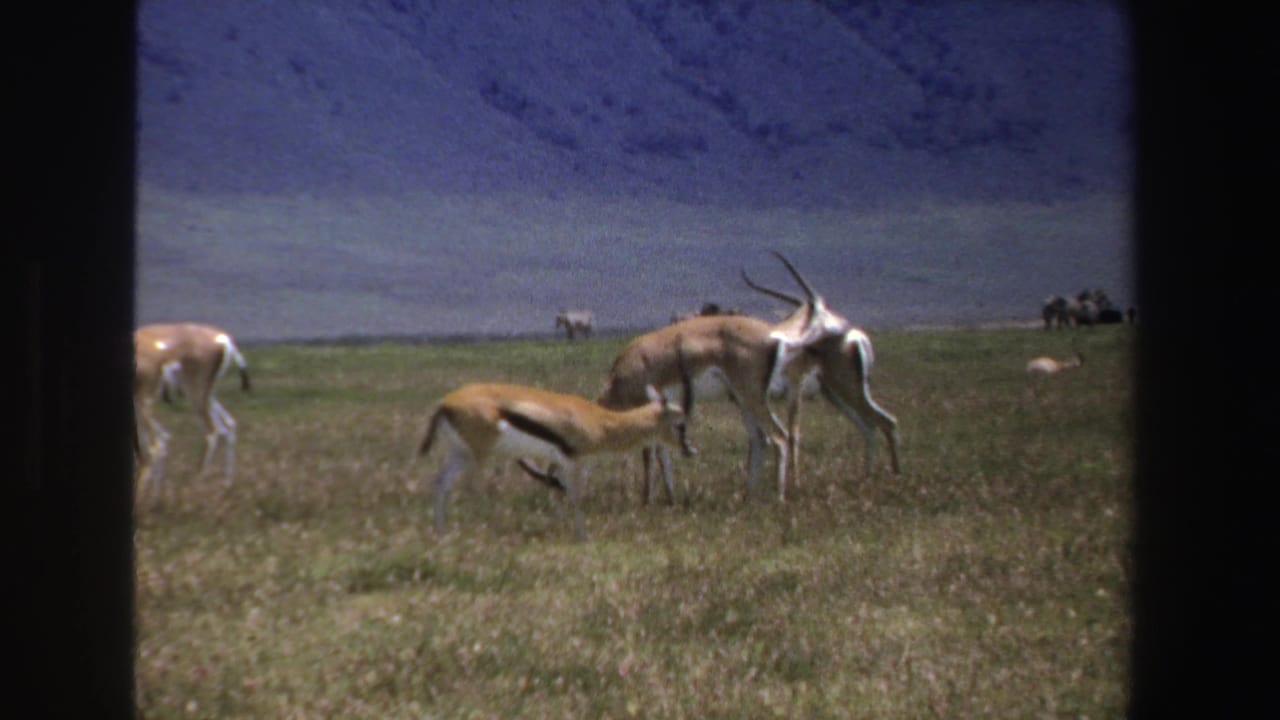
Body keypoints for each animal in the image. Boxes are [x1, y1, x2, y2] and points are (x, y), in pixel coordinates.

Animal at [133, 322, 250, 505]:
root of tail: (223, 339)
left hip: (191, 395)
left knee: (209, 433)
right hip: (203, 396)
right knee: (228, 426)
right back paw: (226, 485)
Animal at [418, 365, 694, 540]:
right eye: (680, 424)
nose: (690, 449)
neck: (598, 420)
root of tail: (445, 404)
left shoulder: (560, 462)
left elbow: (562, 494)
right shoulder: (574, 460)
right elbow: (576, 496)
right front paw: (583, 538)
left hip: (460, 454)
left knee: (440, 483)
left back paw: (440, 534)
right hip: (478, 456)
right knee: (470, 489)